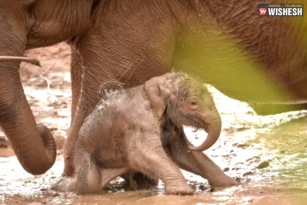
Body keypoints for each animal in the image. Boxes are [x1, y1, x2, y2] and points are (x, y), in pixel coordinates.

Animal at [53, 71, 239, 194]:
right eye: (193, 103)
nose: (195, 145)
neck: (152, 86)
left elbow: (181, 154)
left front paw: (232, 184)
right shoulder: (137, 122)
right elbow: (142, 153)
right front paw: (183, 192)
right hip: (84, 154)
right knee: (90, 183)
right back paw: (61, 187)